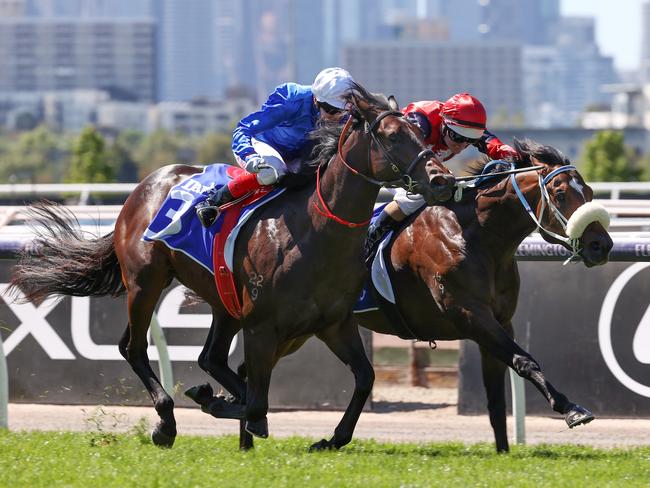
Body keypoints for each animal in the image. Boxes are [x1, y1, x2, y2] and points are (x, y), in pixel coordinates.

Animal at [7, 84, 454, 450]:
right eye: (394, 136)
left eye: (421, 133)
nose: (442, 180)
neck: (315, 232)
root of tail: (143, 187)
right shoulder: (262, 326)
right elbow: (257, 403)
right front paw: (218, 404)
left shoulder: (333, 323)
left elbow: (363, 378)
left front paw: (331, 438)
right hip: (146, 281)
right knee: (133, 347)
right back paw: (166, 423)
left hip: (223, 301)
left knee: (210, 358)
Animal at [352, 139, 612, 452]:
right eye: (560, 194)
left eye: (589, 192)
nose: (602, 245)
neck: (475, 235)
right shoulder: (471, 315)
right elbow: (524, 361)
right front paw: (571, 409)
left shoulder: (500, 321)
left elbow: (497, 393)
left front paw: (503, 451)